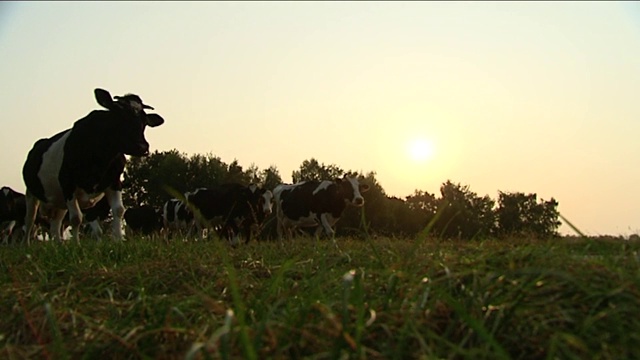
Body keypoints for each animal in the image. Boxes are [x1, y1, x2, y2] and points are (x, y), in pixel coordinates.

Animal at [21, 88, 165, 245]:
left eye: (144, 121)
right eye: (119, 115)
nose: (142, 147)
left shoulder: (114, 181)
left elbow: (118, 210)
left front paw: (118, 241)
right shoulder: (68, 184)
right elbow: (76, 218)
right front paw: (76, 245)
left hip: (59, 202)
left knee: (55, 224)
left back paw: (58, 244)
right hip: (31, 193)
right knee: (30, 220)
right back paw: (27, 244)